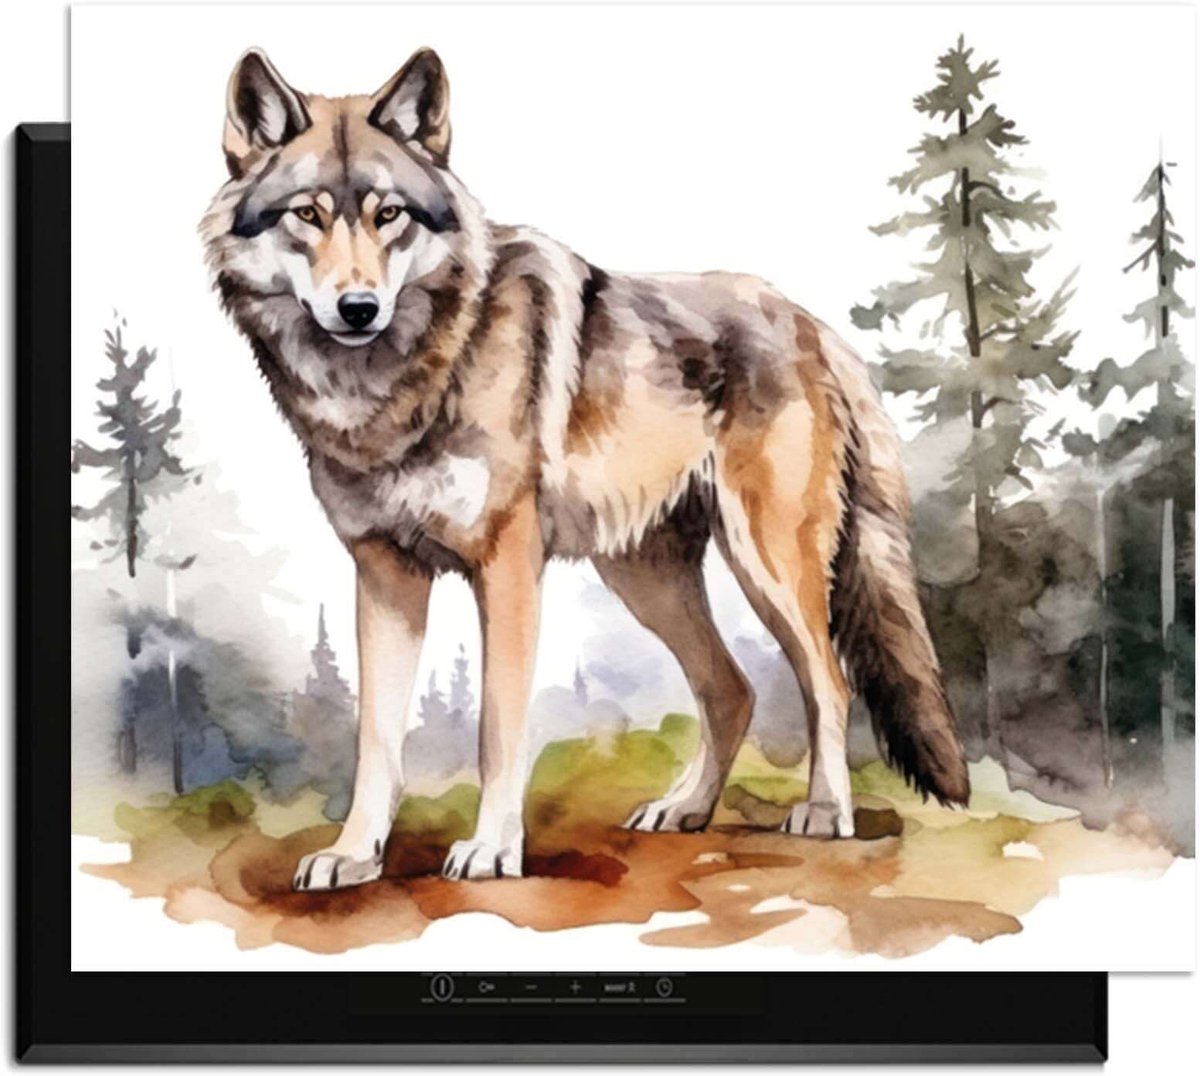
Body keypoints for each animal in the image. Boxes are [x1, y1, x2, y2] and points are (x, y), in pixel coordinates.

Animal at [202, 47, 969, 890]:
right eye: (306, 215)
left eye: (389, 215)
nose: (359, 308)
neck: (404, 379)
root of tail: (813, 325)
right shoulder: (383, 573)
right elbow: (377, 738)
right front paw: (355, 854)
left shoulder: (506, 566)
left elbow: (498, 727)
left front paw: (492, 850)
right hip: (644, 577)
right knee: (730, 689)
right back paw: (684, 808)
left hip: (766, 564)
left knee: (827, 681)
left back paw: (826, 812)